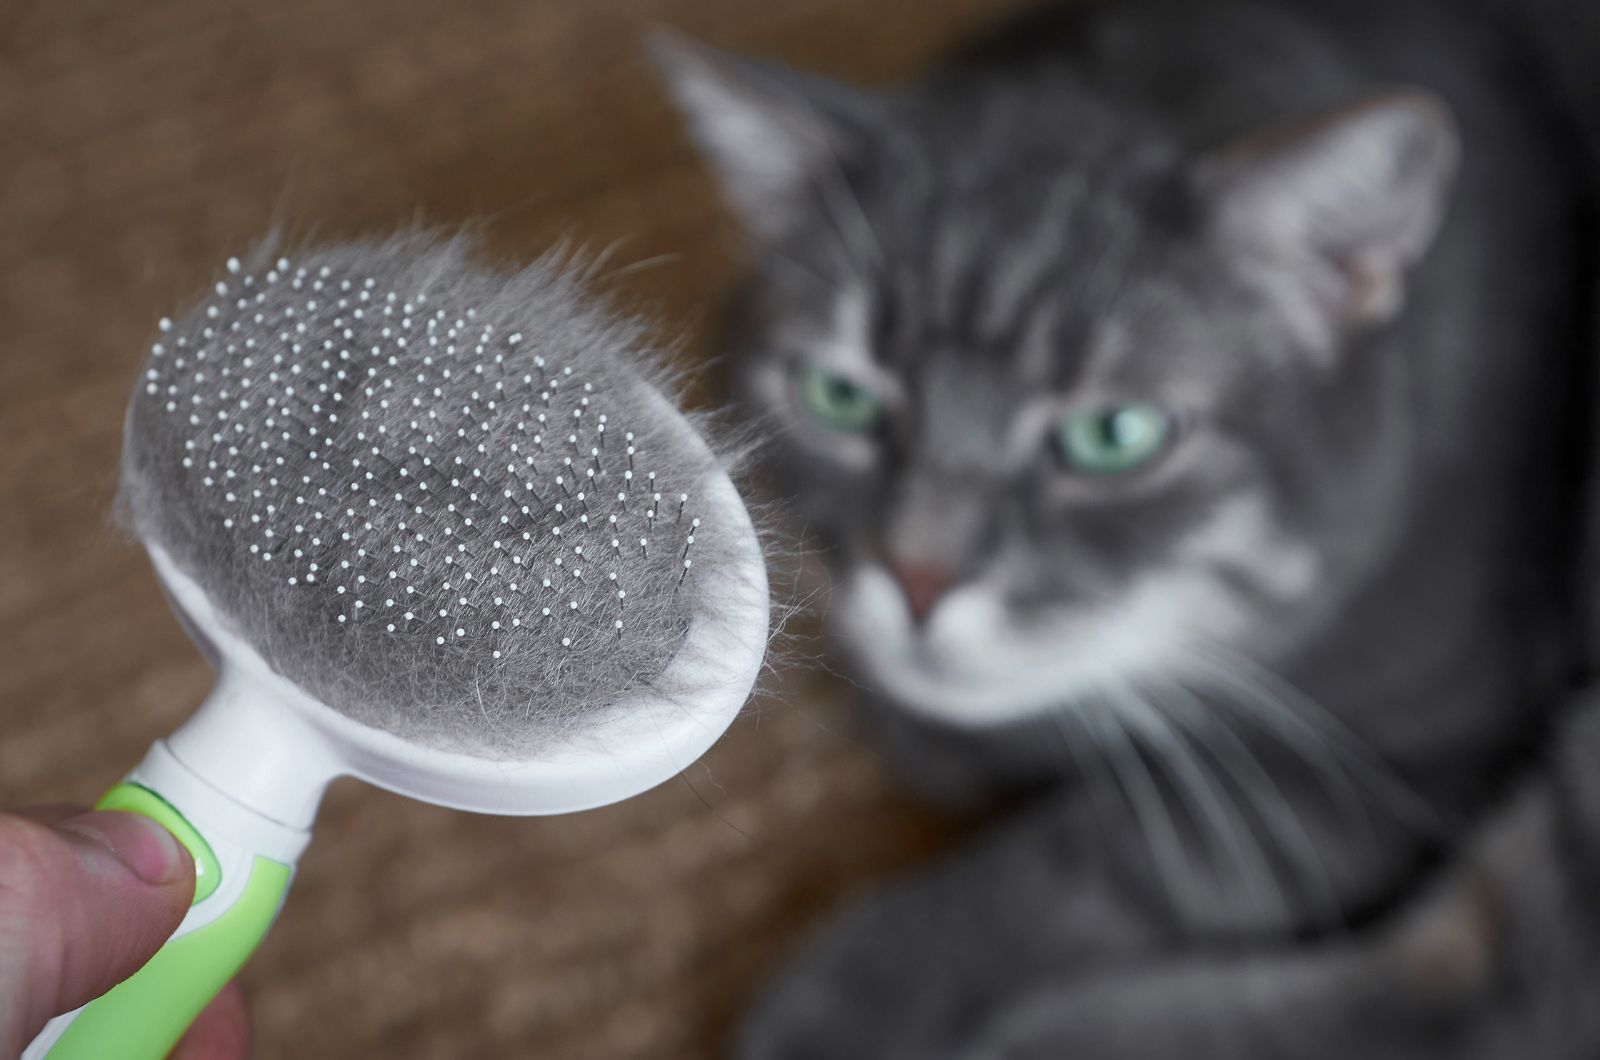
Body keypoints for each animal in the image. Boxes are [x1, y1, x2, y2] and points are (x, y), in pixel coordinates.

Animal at [662, 0, 1600, 1056]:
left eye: (1115, 436)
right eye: (840, 396)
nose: (919, 577)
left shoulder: (1393, 755)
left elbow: (1096, 854)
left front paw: (854, 994)